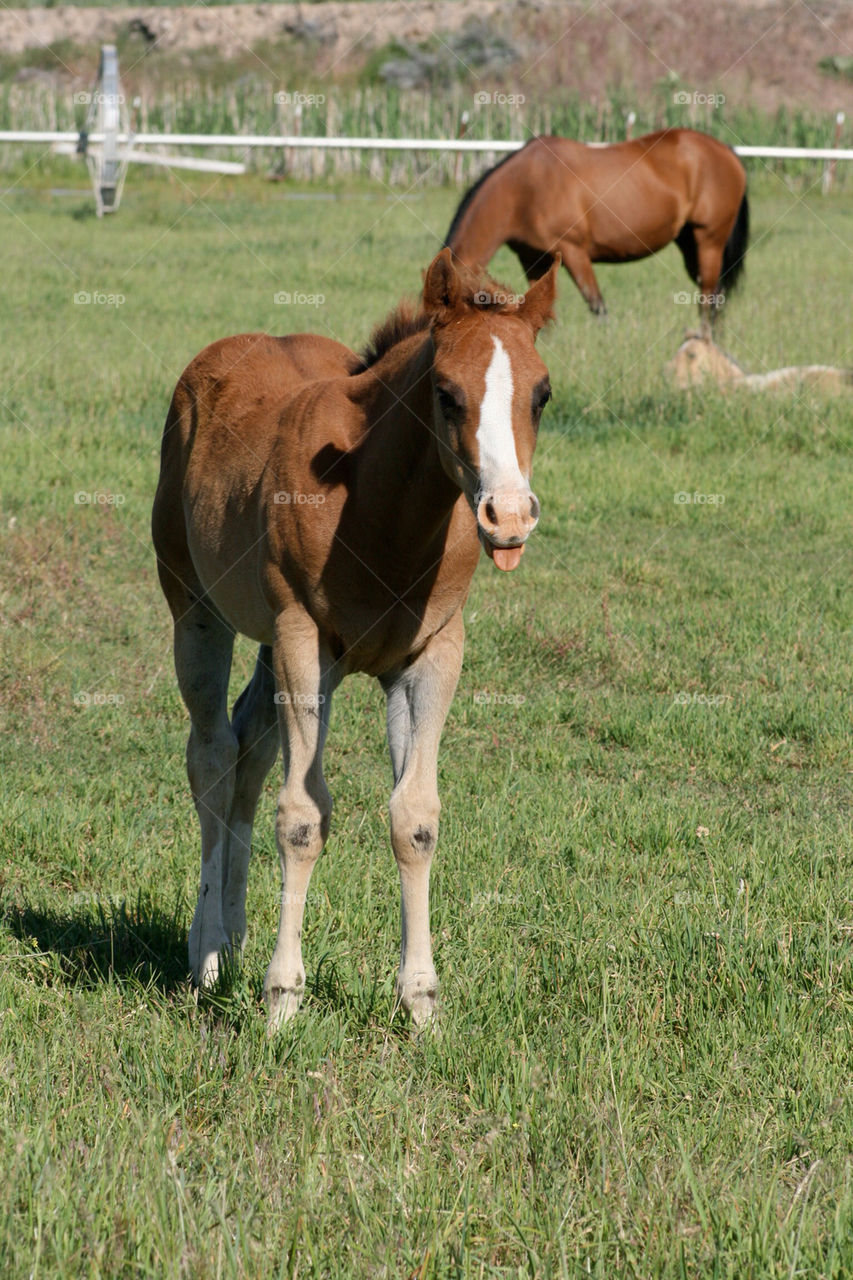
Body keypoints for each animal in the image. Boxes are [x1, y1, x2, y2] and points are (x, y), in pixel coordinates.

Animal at [152, 248, 558, 1032]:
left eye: (542, 394)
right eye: (445, 393)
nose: (508, 516)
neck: (379, 508)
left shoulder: (432, 655)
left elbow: (415, 818)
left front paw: (421, 1002)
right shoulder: (302, 638)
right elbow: (303, 816)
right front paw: (282, 1000)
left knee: (248, 747)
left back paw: (234, 933)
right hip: (198, 610)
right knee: (211, 756)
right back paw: (208, 953)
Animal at [444, 128, 748, 333]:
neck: (523, 188)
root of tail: (725, 150)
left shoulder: (573, 252)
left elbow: (597, 305)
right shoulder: (532, 259)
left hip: (709, 241)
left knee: (709, 297)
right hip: (689, 244)